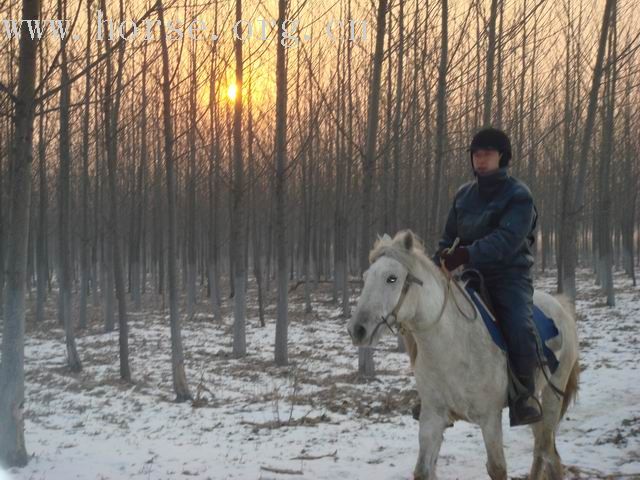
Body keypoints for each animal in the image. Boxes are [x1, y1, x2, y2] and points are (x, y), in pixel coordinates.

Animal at [348, 231, 584, 478]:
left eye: (392, 278)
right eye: (366, 277)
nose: (357, 330)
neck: (451, 346)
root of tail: (561, 306)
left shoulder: (490, 418)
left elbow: (497, 468)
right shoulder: (433, 415)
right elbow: (423, 470)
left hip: (552, 396)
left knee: (547, 450)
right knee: (544, 451)